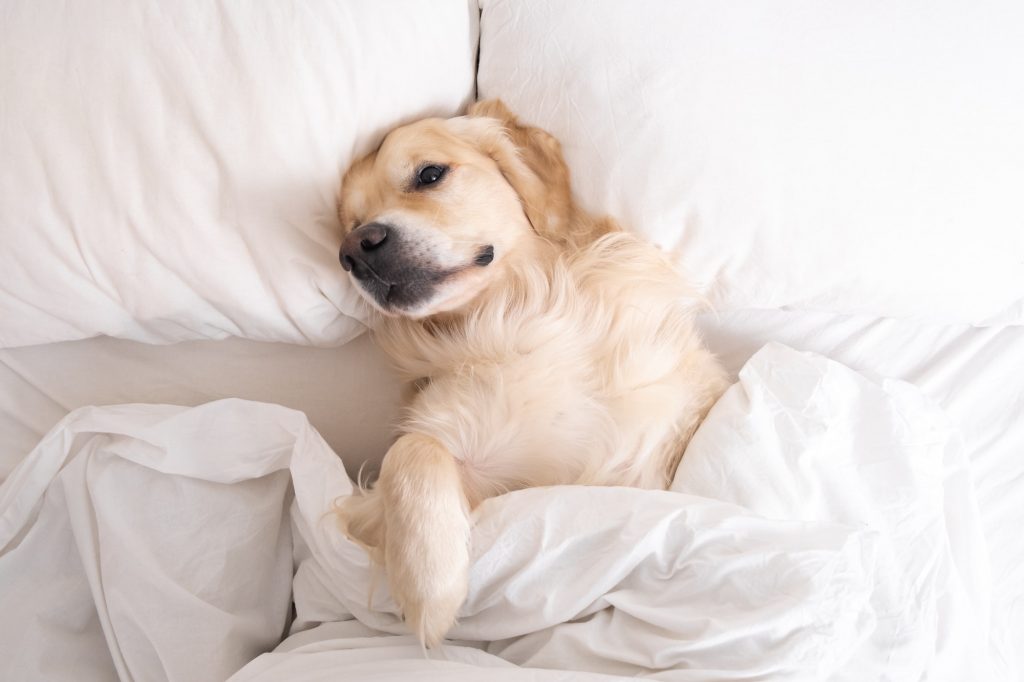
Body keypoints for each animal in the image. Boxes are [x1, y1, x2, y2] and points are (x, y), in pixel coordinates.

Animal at [335, 99, 729, 643]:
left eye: (429, 174)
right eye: (349, 223)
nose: (354, 249)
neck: (517, 312)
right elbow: (410, 450)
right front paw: (430, 585)